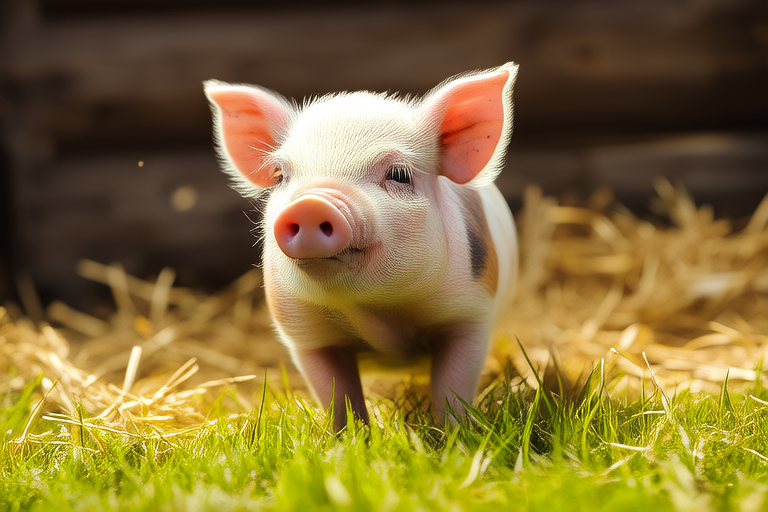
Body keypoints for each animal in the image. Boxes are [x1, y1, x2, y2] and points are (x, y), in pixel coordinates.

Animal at [204, 62, 518, 430]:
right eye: (281, 175)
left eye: (399, 174)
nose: (311, 204)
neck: (377, 313)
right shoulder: (306, 336)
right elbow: (338, 397)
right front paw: (350, 437)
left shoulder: (469, 314)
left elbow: (453, 389)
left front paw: (453, 435)